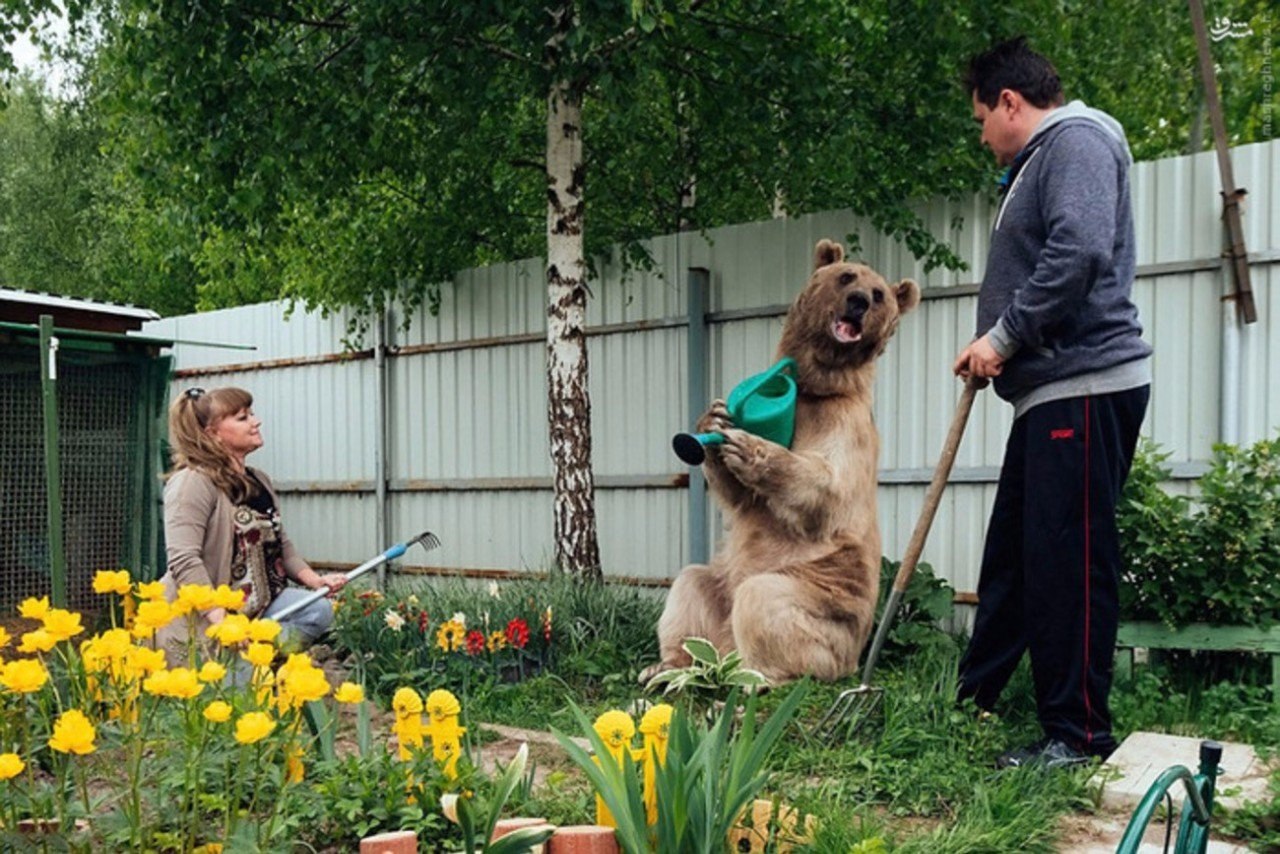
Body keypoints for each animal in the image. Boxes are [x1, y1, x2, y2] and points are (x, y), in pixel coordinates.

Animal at [650, 236, 921, 686]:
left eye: (880, 293)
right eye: (846, 276)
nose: (859, 302)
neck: (815, 385)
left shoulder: (845, 424)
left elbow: (828, 486)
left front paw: (752, 447)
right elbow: (738, 496)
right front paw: (714, 419)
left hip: (823, 602)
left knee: (763, 600)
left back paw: (758, 677)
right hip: (722, 586)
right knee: (689, 584)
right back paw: (668, 666)